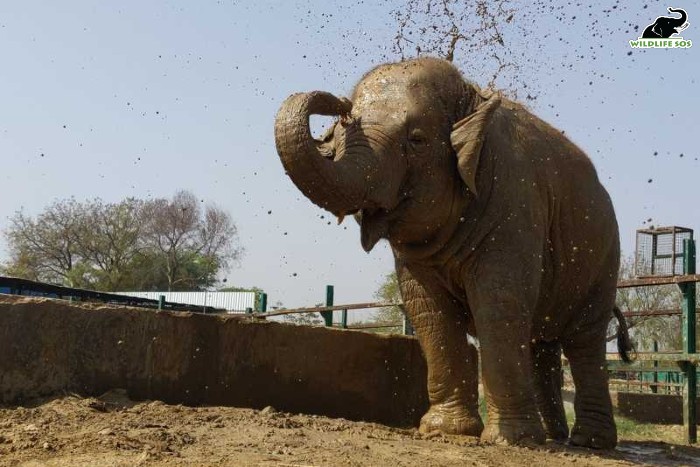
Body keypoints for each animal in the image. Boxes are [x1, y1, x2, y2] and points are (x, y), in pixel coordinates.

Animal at [274, 58, 636, 450]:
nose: (339, 107)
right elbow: (429, 310)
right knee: (543, 347)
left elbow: (498, 304)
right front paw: (445, 431)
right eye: (341, 137)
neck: (470, 97)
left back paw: (588, 442)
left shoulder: (513, 206)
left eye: (416, 140)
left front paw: (509, 440)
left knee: (584, 342)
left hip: (604, 259)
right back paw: (554, 437)